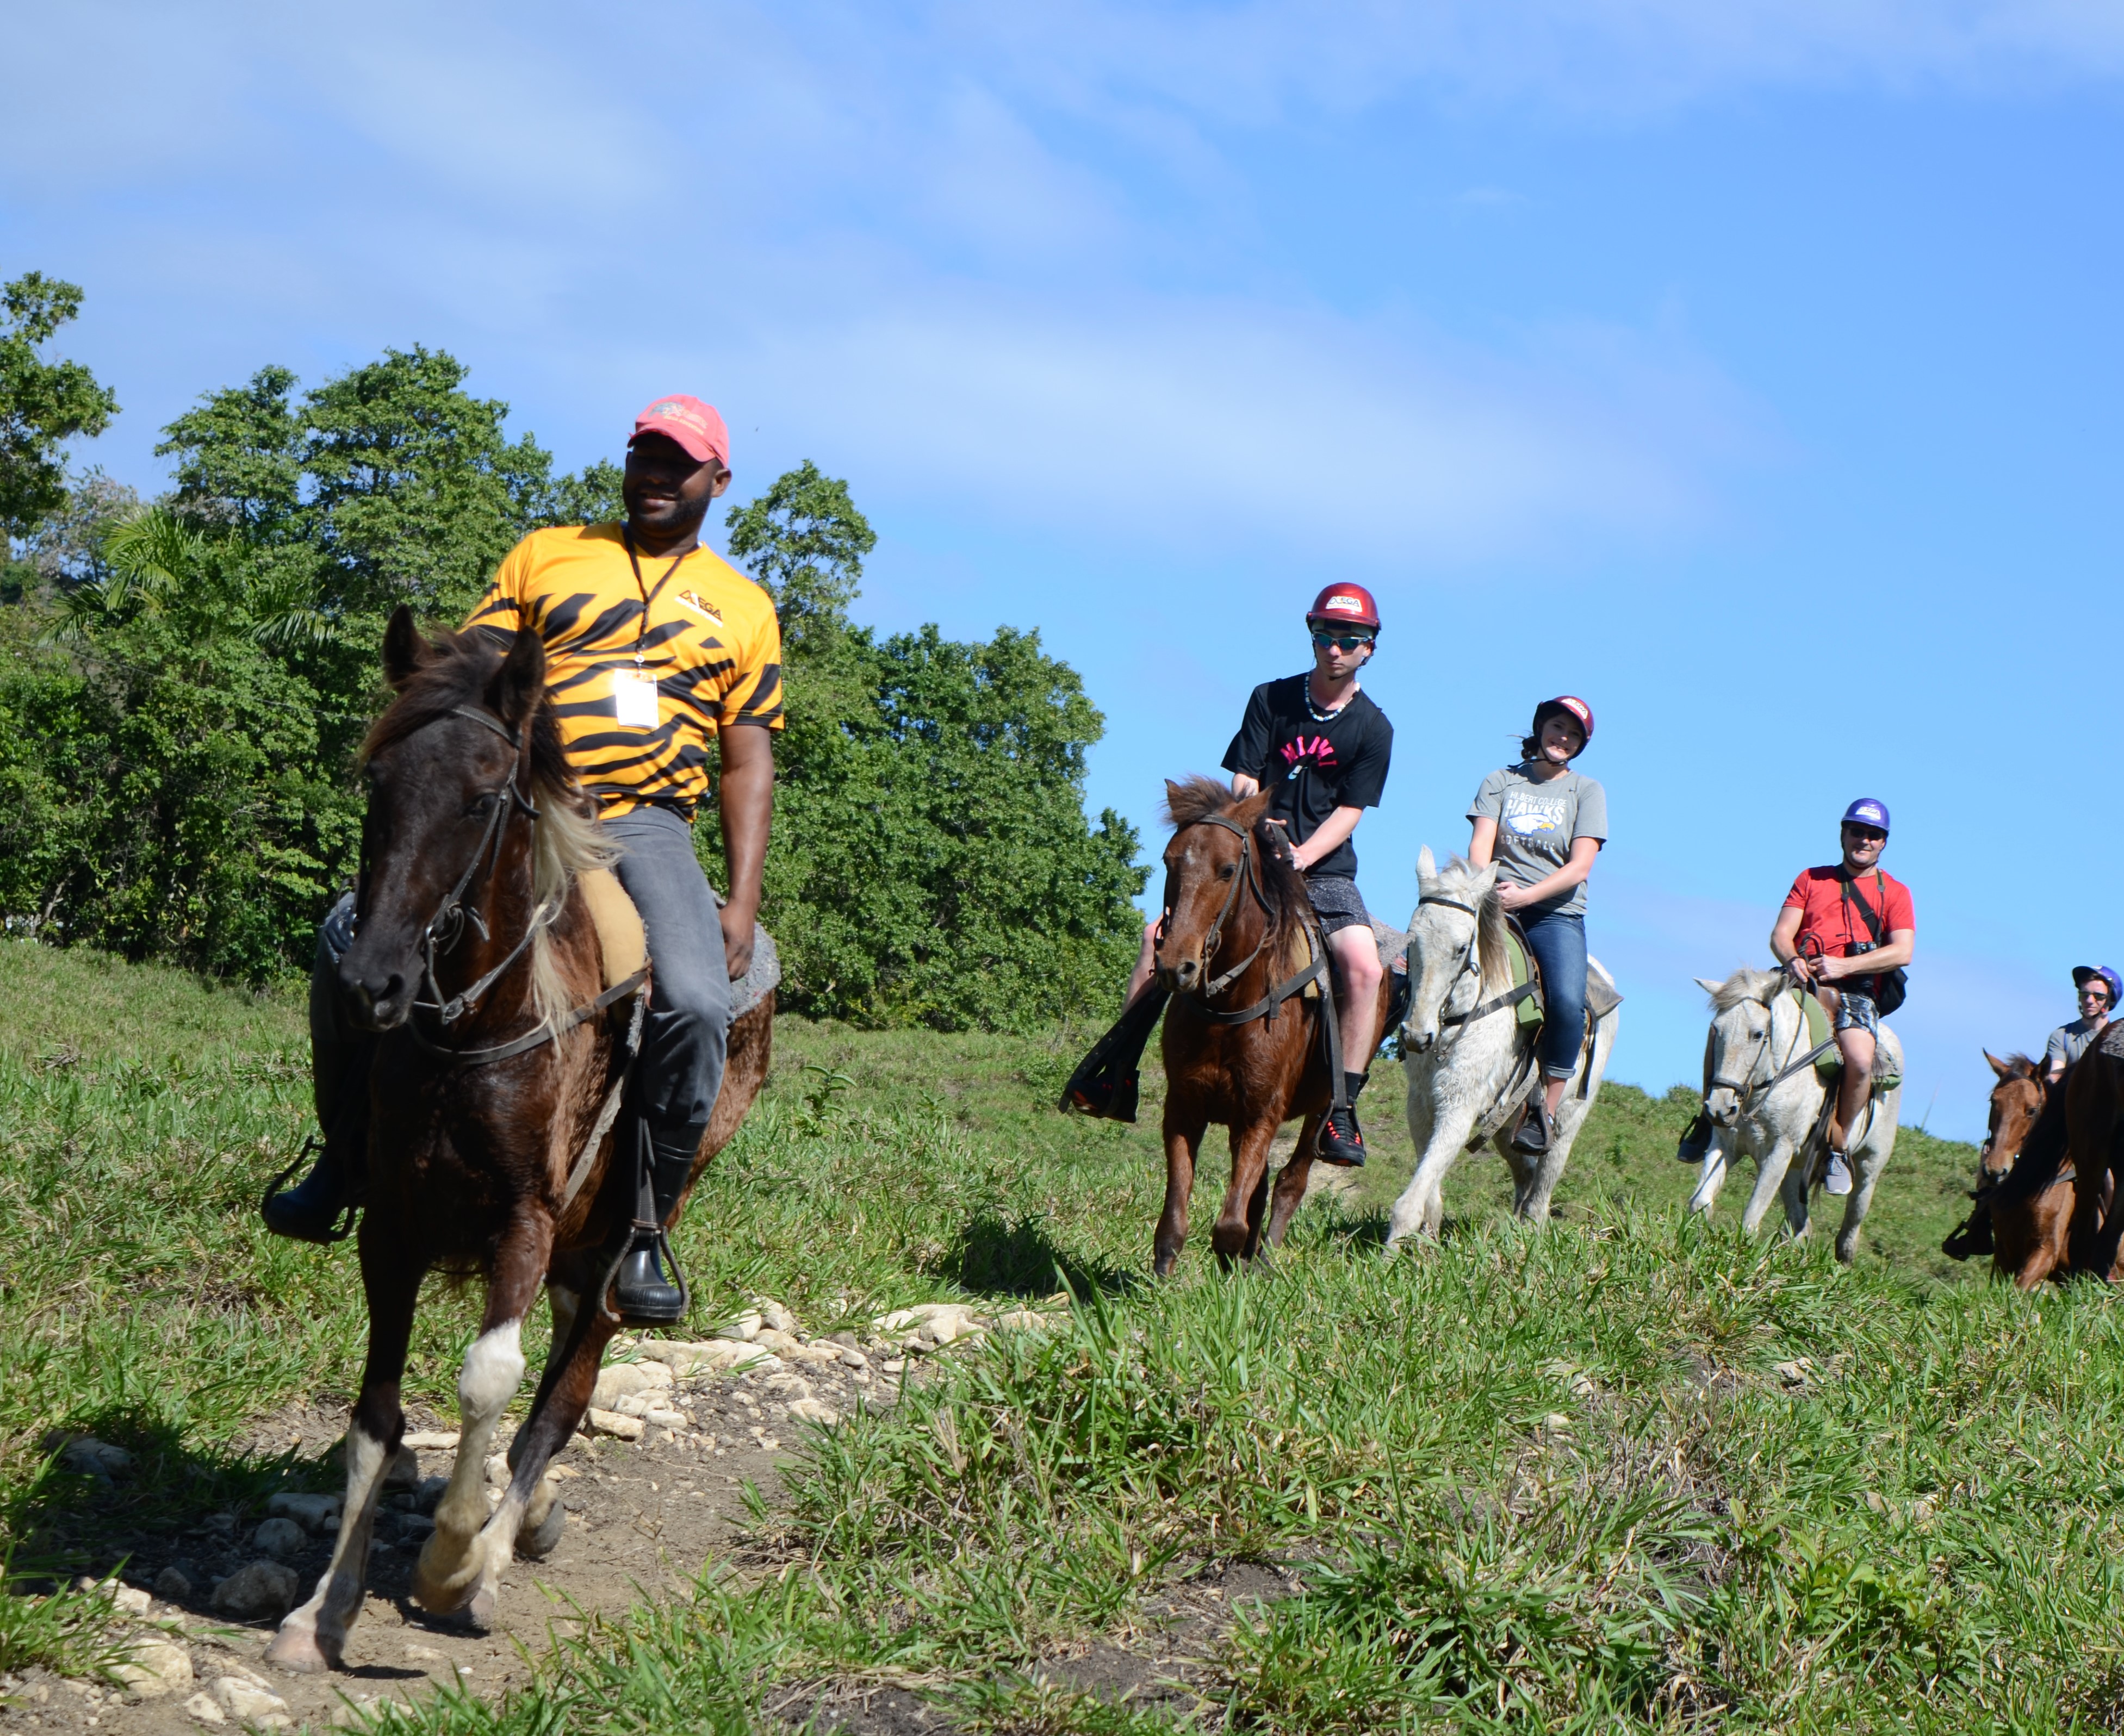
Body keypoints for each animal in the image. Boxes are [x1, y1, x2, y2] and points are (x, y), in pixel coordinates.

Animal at [261, 607, 768, 1666]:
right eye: (379, 783)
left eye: (484, 796)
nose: (373, 981)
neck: (472, 1030)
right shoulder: (392, 1227)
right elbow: (375, 1417)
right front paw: (320, 1611)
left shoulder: (524, 1222)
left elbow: (489, 1379)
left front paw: (448, 1559)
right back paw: (522, 1523)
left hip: (622, 1242)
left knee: (565, 1394)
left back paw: (493, 1555)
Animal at [1155, 773, 1401, 1274]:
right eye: (1170, 861)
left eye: (1228, 869)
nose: (1177, 966)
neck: (1232, 1001)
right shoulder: (1186, 1107)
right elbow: (1175, 1217)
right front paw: (1157, 1281)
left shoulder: (1262, 1112)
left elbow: (1231, 1224)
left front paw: (1236, 1272)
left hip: (1320, 1108)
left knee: (1291, 1182)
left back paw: (1264, 1261)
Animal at [1384, 850, 1614, 1249]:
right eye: (1412, 941)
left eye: (1462, 948)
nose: (1416, 1035)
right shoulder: (1421, 1105)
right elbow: (1429, 1188)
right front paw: (1427, 1246)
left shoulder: (1459, 1106)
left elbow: (1410, 1202)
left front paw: (1392, 1256)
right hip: (1508, 1124)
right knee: (1525, 1177)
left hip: (1567, 1121)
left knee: (1540, 1196)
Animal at [1691, 960, 1911, 1258]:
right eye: (1716, 1029)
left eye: (1758, 1034)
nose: (1720, 1108)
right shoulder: (1725, 1143)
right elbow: (1701, 1203)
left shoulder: (1779, 1151)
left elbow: (1750, 1220)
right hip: (1795, 1170)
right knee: (1802, 1227)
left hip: (1868, 1169)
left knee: (1847, 1238)